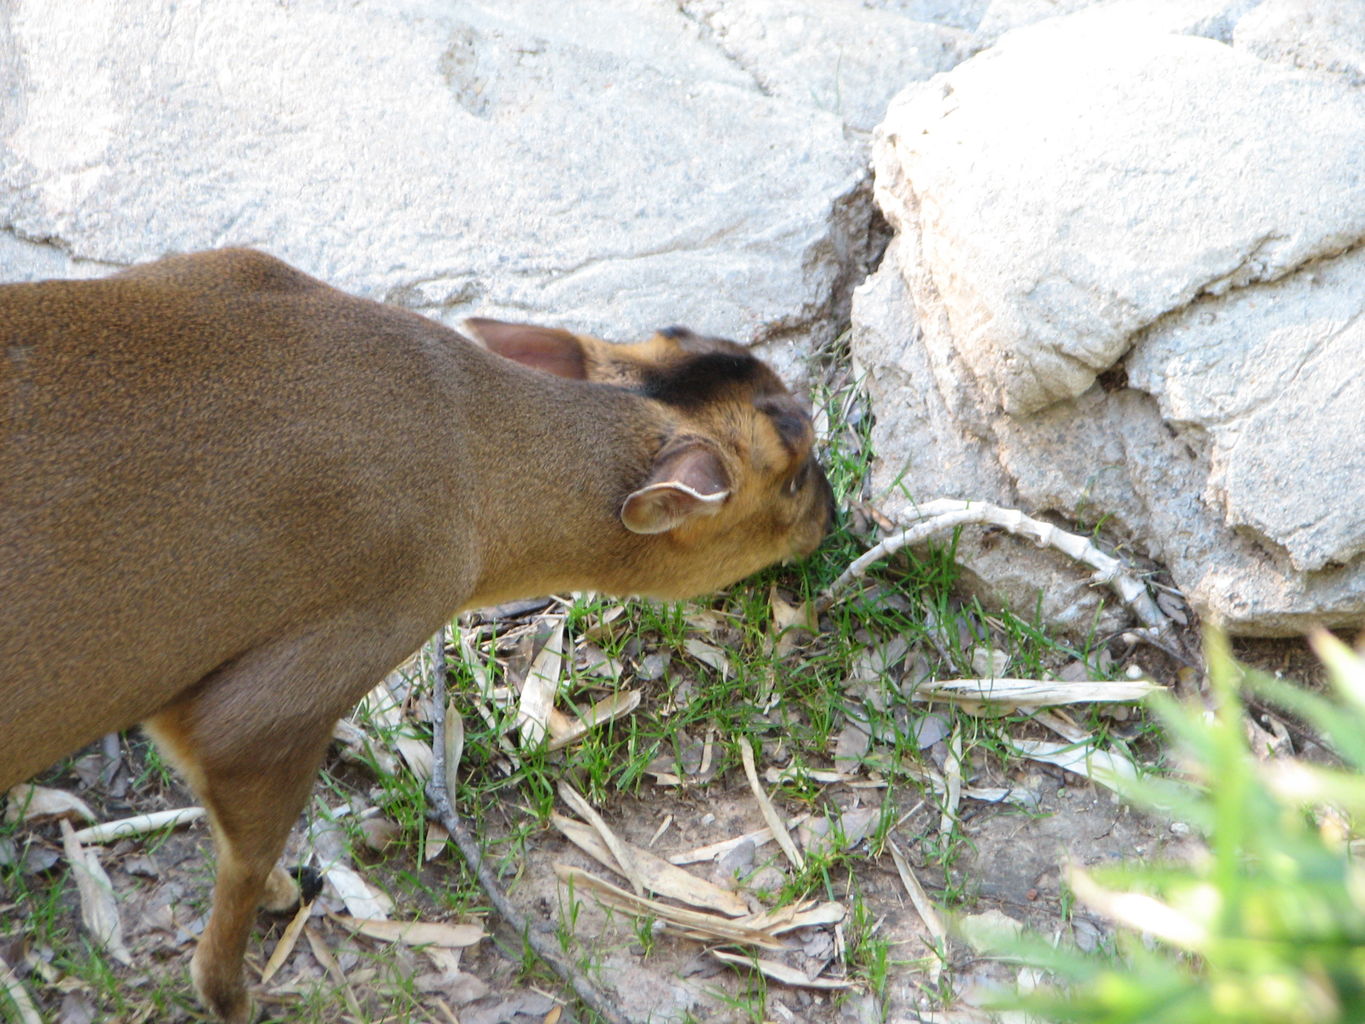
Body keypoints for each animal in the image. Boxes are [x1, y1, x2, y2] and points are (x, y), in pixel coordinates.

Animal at [0, 251, 835, 1024]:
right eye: (793, 471)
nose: (832, 517)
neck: (473, 463)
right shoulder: (280, 697)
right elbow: (242, 865)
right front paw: (239, 982)